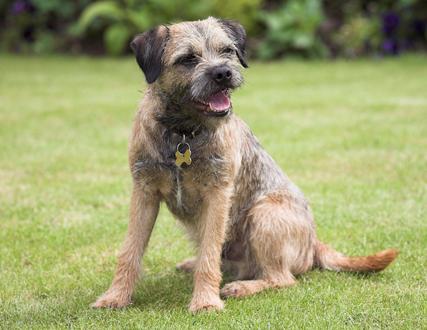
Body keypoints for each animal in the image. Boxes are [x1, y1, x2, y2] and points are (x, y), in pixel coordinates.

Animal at [92, 17, 400, 312]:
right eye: (188, 58)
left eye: (227, 51)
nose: (223, 73)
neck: (182, 133)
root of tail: (314, 242)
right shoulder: (144, 191)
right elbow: (130, 251)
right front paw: (115, 297)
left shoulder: (218, 194)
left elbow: (209, 254)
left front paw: (205, 301)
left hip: (264, 214)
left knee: (281, 278)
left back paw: (241, 287)